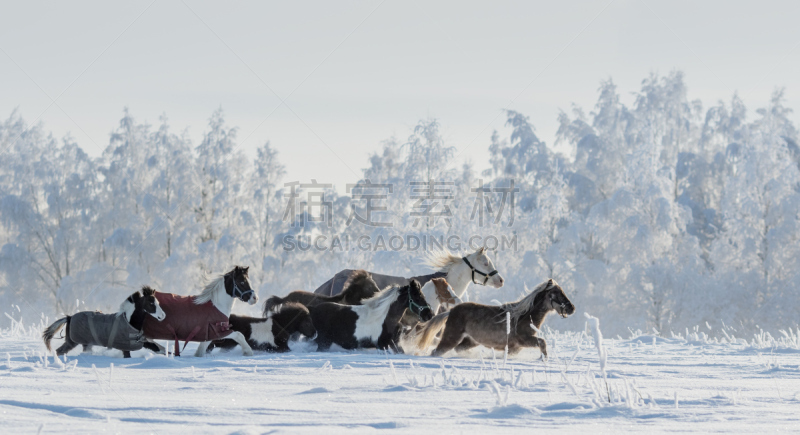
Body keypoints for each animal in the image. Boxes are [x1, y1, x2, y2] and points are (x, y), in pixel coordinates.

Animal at [412, 282, 576, 360]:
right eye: (557, 293)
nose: (572, 308)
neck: (523, 316)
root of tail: (452, 311)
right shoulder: (523, 339)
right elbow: (542, 342)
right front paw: (543, 359)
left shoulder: (515, 346)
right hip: (451, 337)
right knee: (436, 351)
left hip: (471, 340)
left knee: (458, 349)